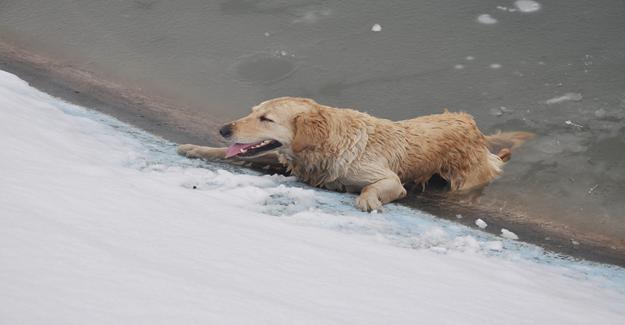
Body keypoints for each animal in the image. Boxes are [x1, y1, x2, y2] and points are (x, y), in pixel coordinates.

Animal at [179, 97, 532, 210]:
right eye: (252, 112)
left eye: (266, 119)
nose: (224, 129)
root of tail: (471, 124)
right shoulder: (289, 161)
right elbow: (238, 154)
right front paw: (199, 147)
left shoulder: (388, 178)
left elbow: (374, 187)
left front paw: (368, 199)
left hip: (465, 179)